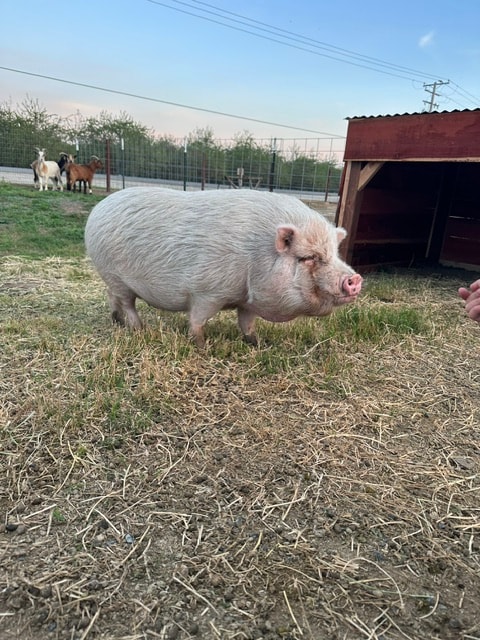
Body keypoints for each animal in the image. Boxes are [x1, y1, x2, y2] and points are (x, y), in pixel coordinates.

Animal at [84, 187, 362, 347]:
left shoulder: (247, 300)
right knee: (128, 303)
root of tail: (97, 209)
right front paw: (202, 346)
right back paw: (139, 329)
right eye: (308, 257)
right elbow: (197, 319)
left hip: (111, 278)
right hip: (116, 274)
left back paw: (117, 321)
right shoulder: (206, 291)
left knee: (113, 297)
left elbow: (246, 323)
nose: (355, 279)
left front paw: (258, 344)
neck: (256, 256)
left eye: (335, 253)